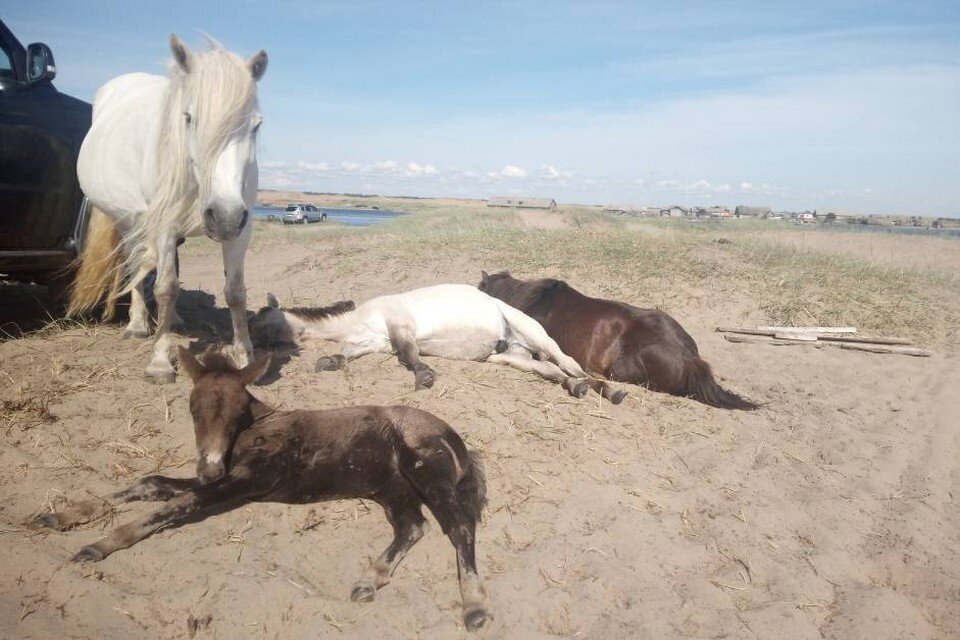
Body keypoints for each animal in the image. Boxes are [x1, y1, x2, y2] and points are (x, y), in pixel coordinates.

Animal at [33, 344, 492, 632]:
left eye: (239, 411)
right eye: (192, 408)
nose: (209, 465)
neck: (255, 430)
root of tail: (452, 433)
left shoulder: (244, 482)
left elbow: (180, 503)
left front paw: (102, 544)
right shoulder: (222, 477)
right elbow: (152, 484)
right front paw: (60, 515)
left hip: (424, 471)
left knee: (458, 526)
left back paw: (475, 607)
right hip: (392, 487)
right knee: (413, 526)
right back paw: (369, 581)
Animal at [70, 35, 268, 382]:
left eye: (255, 126)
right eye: (188, 118)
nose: (224, 217)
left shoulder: (241, 227)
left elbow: (235, 292)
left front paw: (245, 356)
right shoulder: (163, 226)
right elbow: (165, 288)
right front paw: (160, 361)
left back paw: (171, 321)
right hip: (129, 223)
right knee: (135, 266)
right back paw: (137, 325)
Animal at [248, 282, 632, 402]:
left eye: (258, 321)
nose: (250, 358)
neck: (361, 319)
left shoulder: (400, 326)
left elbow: (408, 356)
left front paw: (424, 377)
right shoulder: (371, 344)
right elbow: (345, 356)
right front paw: (328, 361)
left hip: (538, 336)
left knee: (568, 363)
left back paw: (608, 391)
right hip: (509, 356)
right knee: (551, 372)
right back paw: (576, 388)